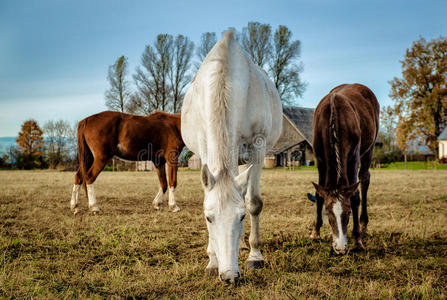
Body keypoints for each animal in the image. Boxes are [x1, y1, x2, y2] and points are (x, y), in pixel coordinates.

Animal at [180, 29, 282, 284]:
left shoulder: (258, 146)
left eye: (242, 217)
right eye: (209, 218)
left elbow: (254, 202)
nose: (229, 276)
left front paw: (255, 256)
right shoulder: (204, 147)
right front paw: (212, 261)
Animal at [312, 83, 382, 254]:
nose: (340, 248)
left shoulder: (353, 158)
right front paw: (316, 231)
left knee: (365, 178)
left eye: (349, 212)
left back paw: (364, 226)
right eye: (327, 212)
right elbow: (319, 193)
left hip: (369, 149)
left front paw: (357, 240)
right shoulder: (320, 159)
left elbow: (355, 196)